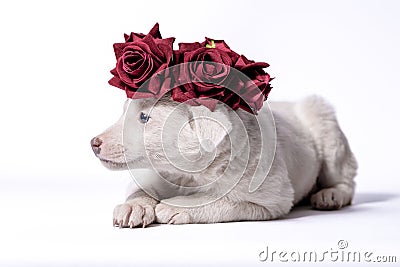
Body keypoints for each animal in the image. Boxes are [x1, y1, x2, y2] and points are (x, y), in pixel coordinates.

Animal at [92, 96, 358, 228]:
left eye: (144, 117)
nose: (94, 143)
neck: (189, 174)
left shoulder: (272, 197)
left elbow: (227, 201)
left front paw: (177, 207)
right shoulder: (153, 173)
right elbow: (138, 189)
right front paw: (133, 207)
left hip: (327, 130)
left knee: (346, 178)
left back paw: (330, 195)